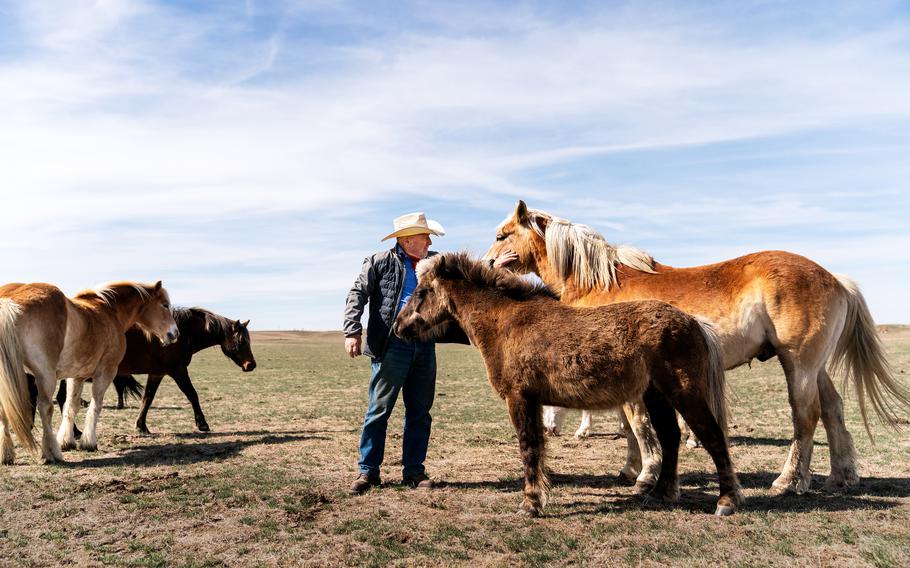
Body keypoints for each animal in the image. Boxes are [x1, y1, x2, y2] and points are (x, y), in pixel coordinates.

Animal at [0, 282, 180, 464]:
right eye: (165, 305)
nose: (175, 333)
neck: (110, 311)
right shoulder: (106, 373)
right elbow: (96, 405)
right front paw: (88, 443)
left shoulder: (76, 376)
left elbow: (71, 406)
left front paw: (67, 441)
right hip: (45, 377)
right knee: (46, 409)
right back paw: (51, 453)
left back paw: (7, 454)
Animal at [396, 253, 744, 520]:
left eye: (422, 291)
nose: (399, 326)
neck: (508, 322)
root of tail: (693, 322)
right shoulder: (534, 401)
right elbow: (538, 448)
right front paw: (538, 498)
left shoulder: (519, 399)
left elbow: (529, 448)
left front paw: (530, 504)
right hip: (657, 395)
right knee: (670, 438)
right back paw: (660, 493)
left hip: (684, 393)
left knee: (712, 437)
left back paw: (725, 501)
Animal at [480, 202, 908, 494]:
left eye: (502, 235)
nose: (486, 264)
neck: (600, 282)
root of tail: (834, 278)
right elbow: (630, 426)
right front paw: (631, 470)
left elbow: (638, 425)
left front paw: (646, 475)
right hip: (814, 368)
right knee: (834, 410)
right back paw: (841, 475)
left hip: (798, 366)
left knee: (806, 417)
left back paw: (789, 481)